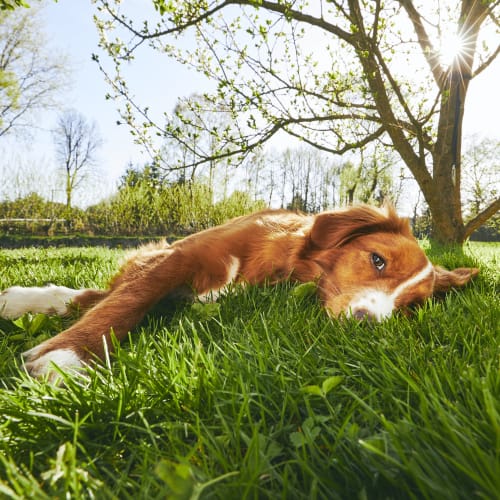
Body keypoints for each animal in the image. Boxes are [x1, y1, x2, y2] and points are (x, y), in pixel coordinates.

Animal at [0, 203, 476, 378]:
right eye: (377, 260)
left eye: (411, 308)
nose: (368, 323)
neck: (283, 258)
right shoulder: (177, 258)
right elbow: (127, 302)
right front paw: (68, 355)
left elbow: (116, 301)